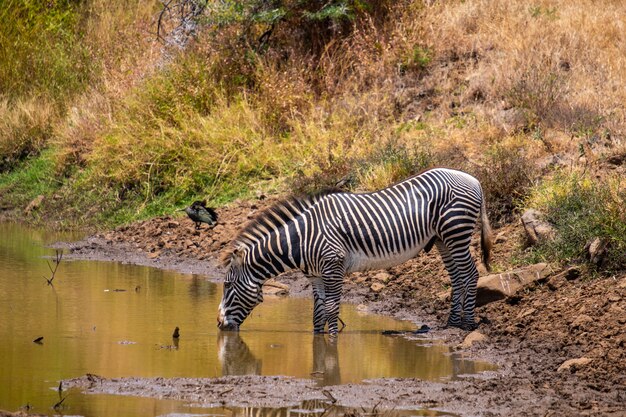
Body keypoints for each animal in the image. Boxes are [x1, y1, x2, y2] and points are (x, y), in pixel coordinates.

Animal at [217, 167, 490, 334]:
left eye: (228, 285)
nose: (218, 324)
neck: (302, 240)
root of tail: (474, 179)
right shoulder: (315, 275)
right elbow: (317, 312)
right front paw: (318, 342)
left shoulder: (333, 266)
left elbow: (331, 308)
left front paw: (332, 343)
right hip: (443, 239)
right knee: (457, 277)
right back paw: (452, 323)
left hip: (456, 232)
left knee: (470, 274)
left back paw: (468, 324)